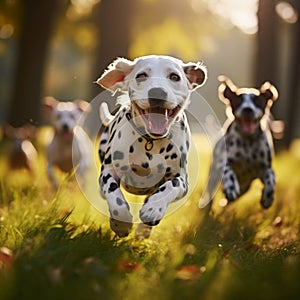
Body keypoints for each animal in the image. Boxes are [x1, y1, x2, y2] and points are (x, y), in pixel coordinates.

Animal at [97, 54, 207, 237]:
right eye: (141, 75)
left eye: (174, 77)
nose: (158, 92)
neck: (150, 141)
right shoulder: (108, 171)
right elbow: (112, 190)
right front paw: (120, 220)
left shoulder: (181, 180)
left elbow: (171, 186)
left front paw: (153, 209)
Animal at [202, 76, 278, 210]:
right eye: (238, 100)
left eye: (257, 101)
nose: (247, 109)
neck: (247, 141)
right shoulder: (223, 164)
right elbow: (228, 172)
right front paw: (231, 187)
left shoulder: (265, 168)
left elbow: (271, 177)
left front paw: (268, 198)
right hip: (213, 177)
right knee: (210, 192)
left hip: (245, 187)